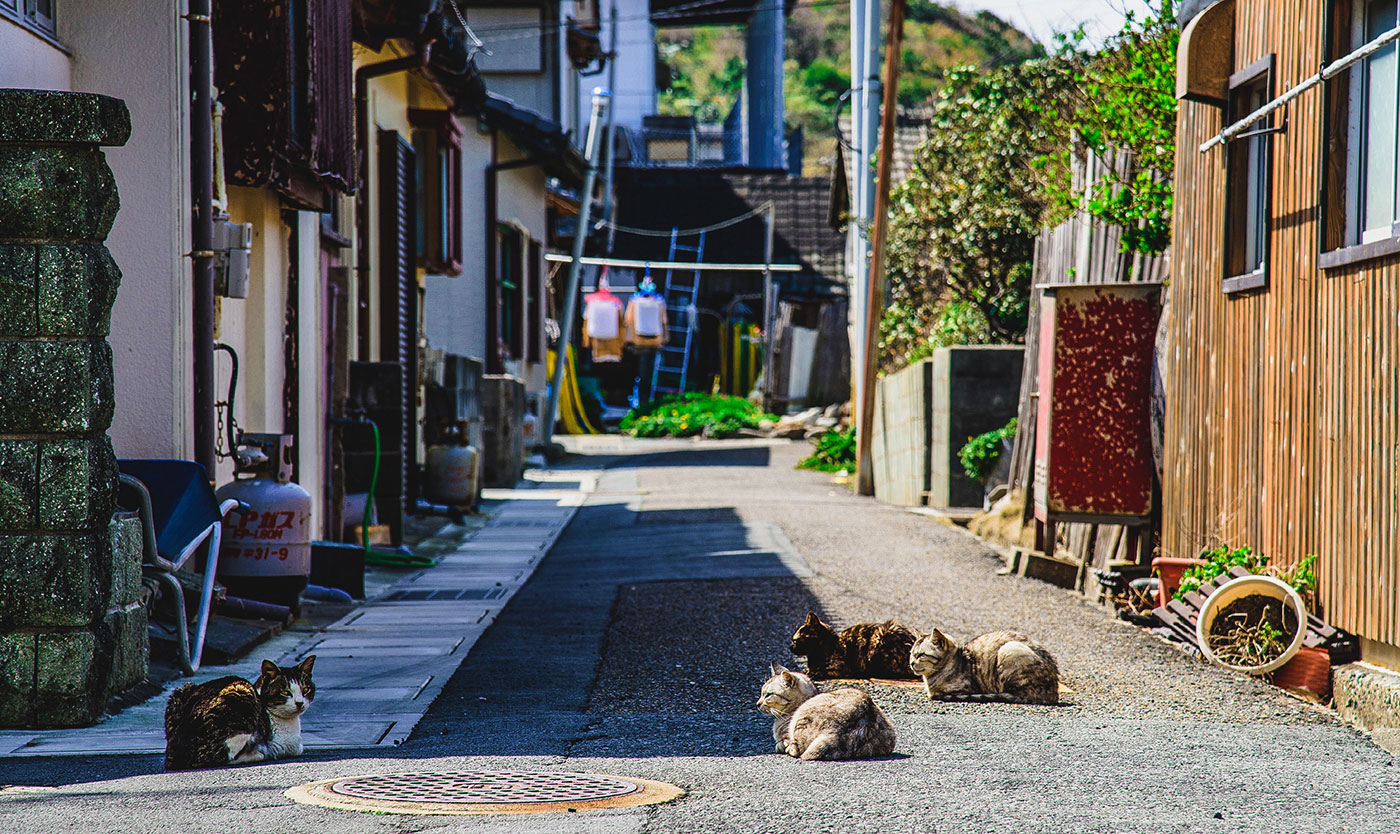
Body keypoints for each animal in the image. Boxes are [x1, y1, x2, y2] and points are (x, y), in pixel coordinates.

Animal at [164, 654, 317, 772]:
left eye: (306, 690)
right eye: (285, 692)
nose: (299, 703)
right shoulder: (286, 743)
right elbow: (298, 747)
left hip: (181, 690)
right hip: (241, 695)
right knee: (214, 758)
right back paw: (256, 754)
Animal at [756, 660, 896, 761]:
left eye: (768, 695)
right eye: (761, 693)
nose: (757, 704)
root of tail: (835, 733)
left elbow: (781, 744)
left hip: (800, 721)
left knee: (796, 750)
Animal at [789, 610, 918, 680]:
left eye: (796, 640)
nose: (790, 647)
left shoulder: (843, 668)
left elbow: (824, 670)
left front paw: (813, 673)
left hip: (880, 638)